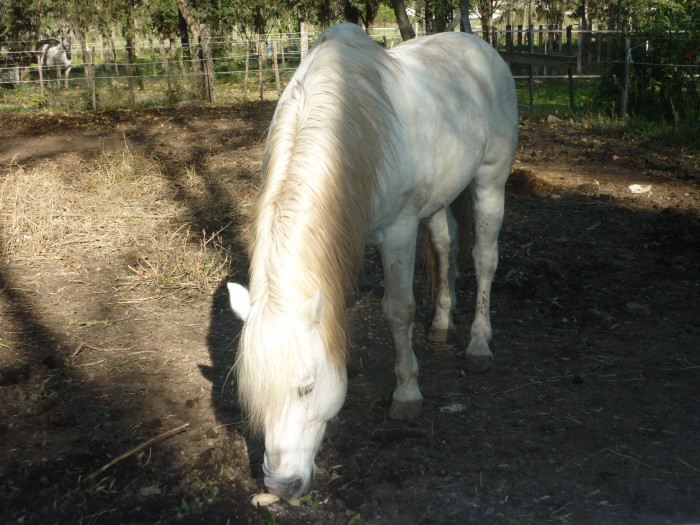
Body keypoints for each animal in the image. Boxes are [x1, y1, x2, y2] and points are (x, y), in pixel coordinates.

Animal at [227, 23, 518, 500]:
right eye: (251, 395)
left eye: (307, 388)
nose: (282, 485)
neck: (344, 123)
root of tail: (477, 44)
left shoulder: (398, 231)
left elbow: (398, 311)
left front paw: (407, 394)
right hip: (439, 200)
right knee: (445, 245)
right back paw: (441, 324)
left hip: (490, 182)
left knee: (485, 259)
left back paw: (479, 345)